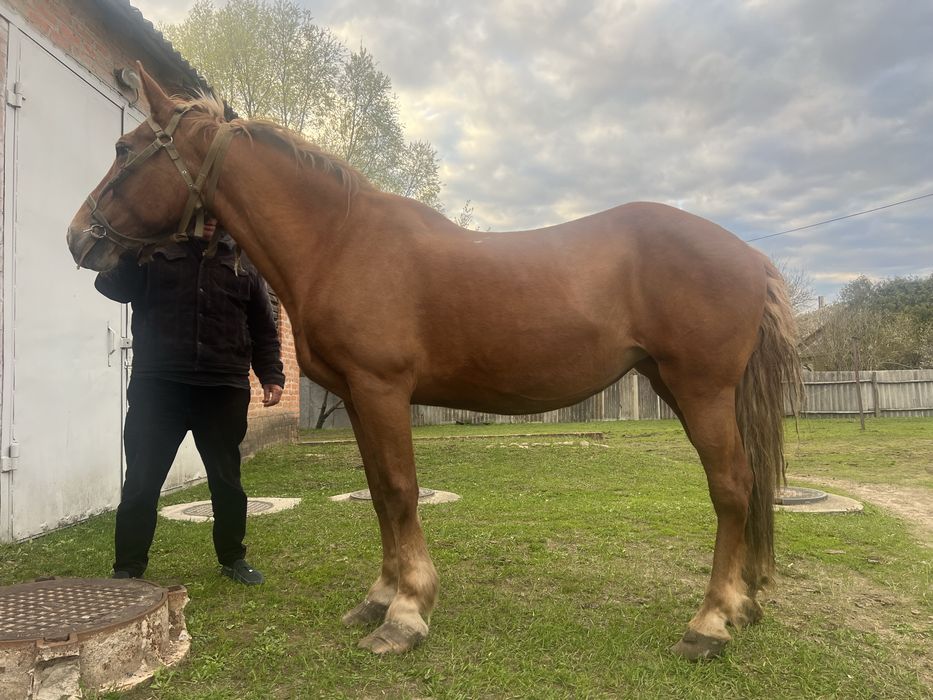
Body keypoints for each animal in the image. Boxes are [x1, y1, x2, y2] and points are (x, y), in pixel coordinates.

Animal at [67, 64, 802, 661]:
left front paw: (405, 614)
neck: (340, 240)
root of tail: (748, 255)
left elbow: (399, 491)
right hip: (679, 386)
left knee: (732, 489)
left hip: (700, 390)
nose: (78, 238)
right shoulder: (359, 397)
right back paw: (741, 606)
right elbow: (379, 496)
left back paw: (708, 624)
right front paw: (379, 597)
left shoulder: (382, 389)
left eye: (125, 150)